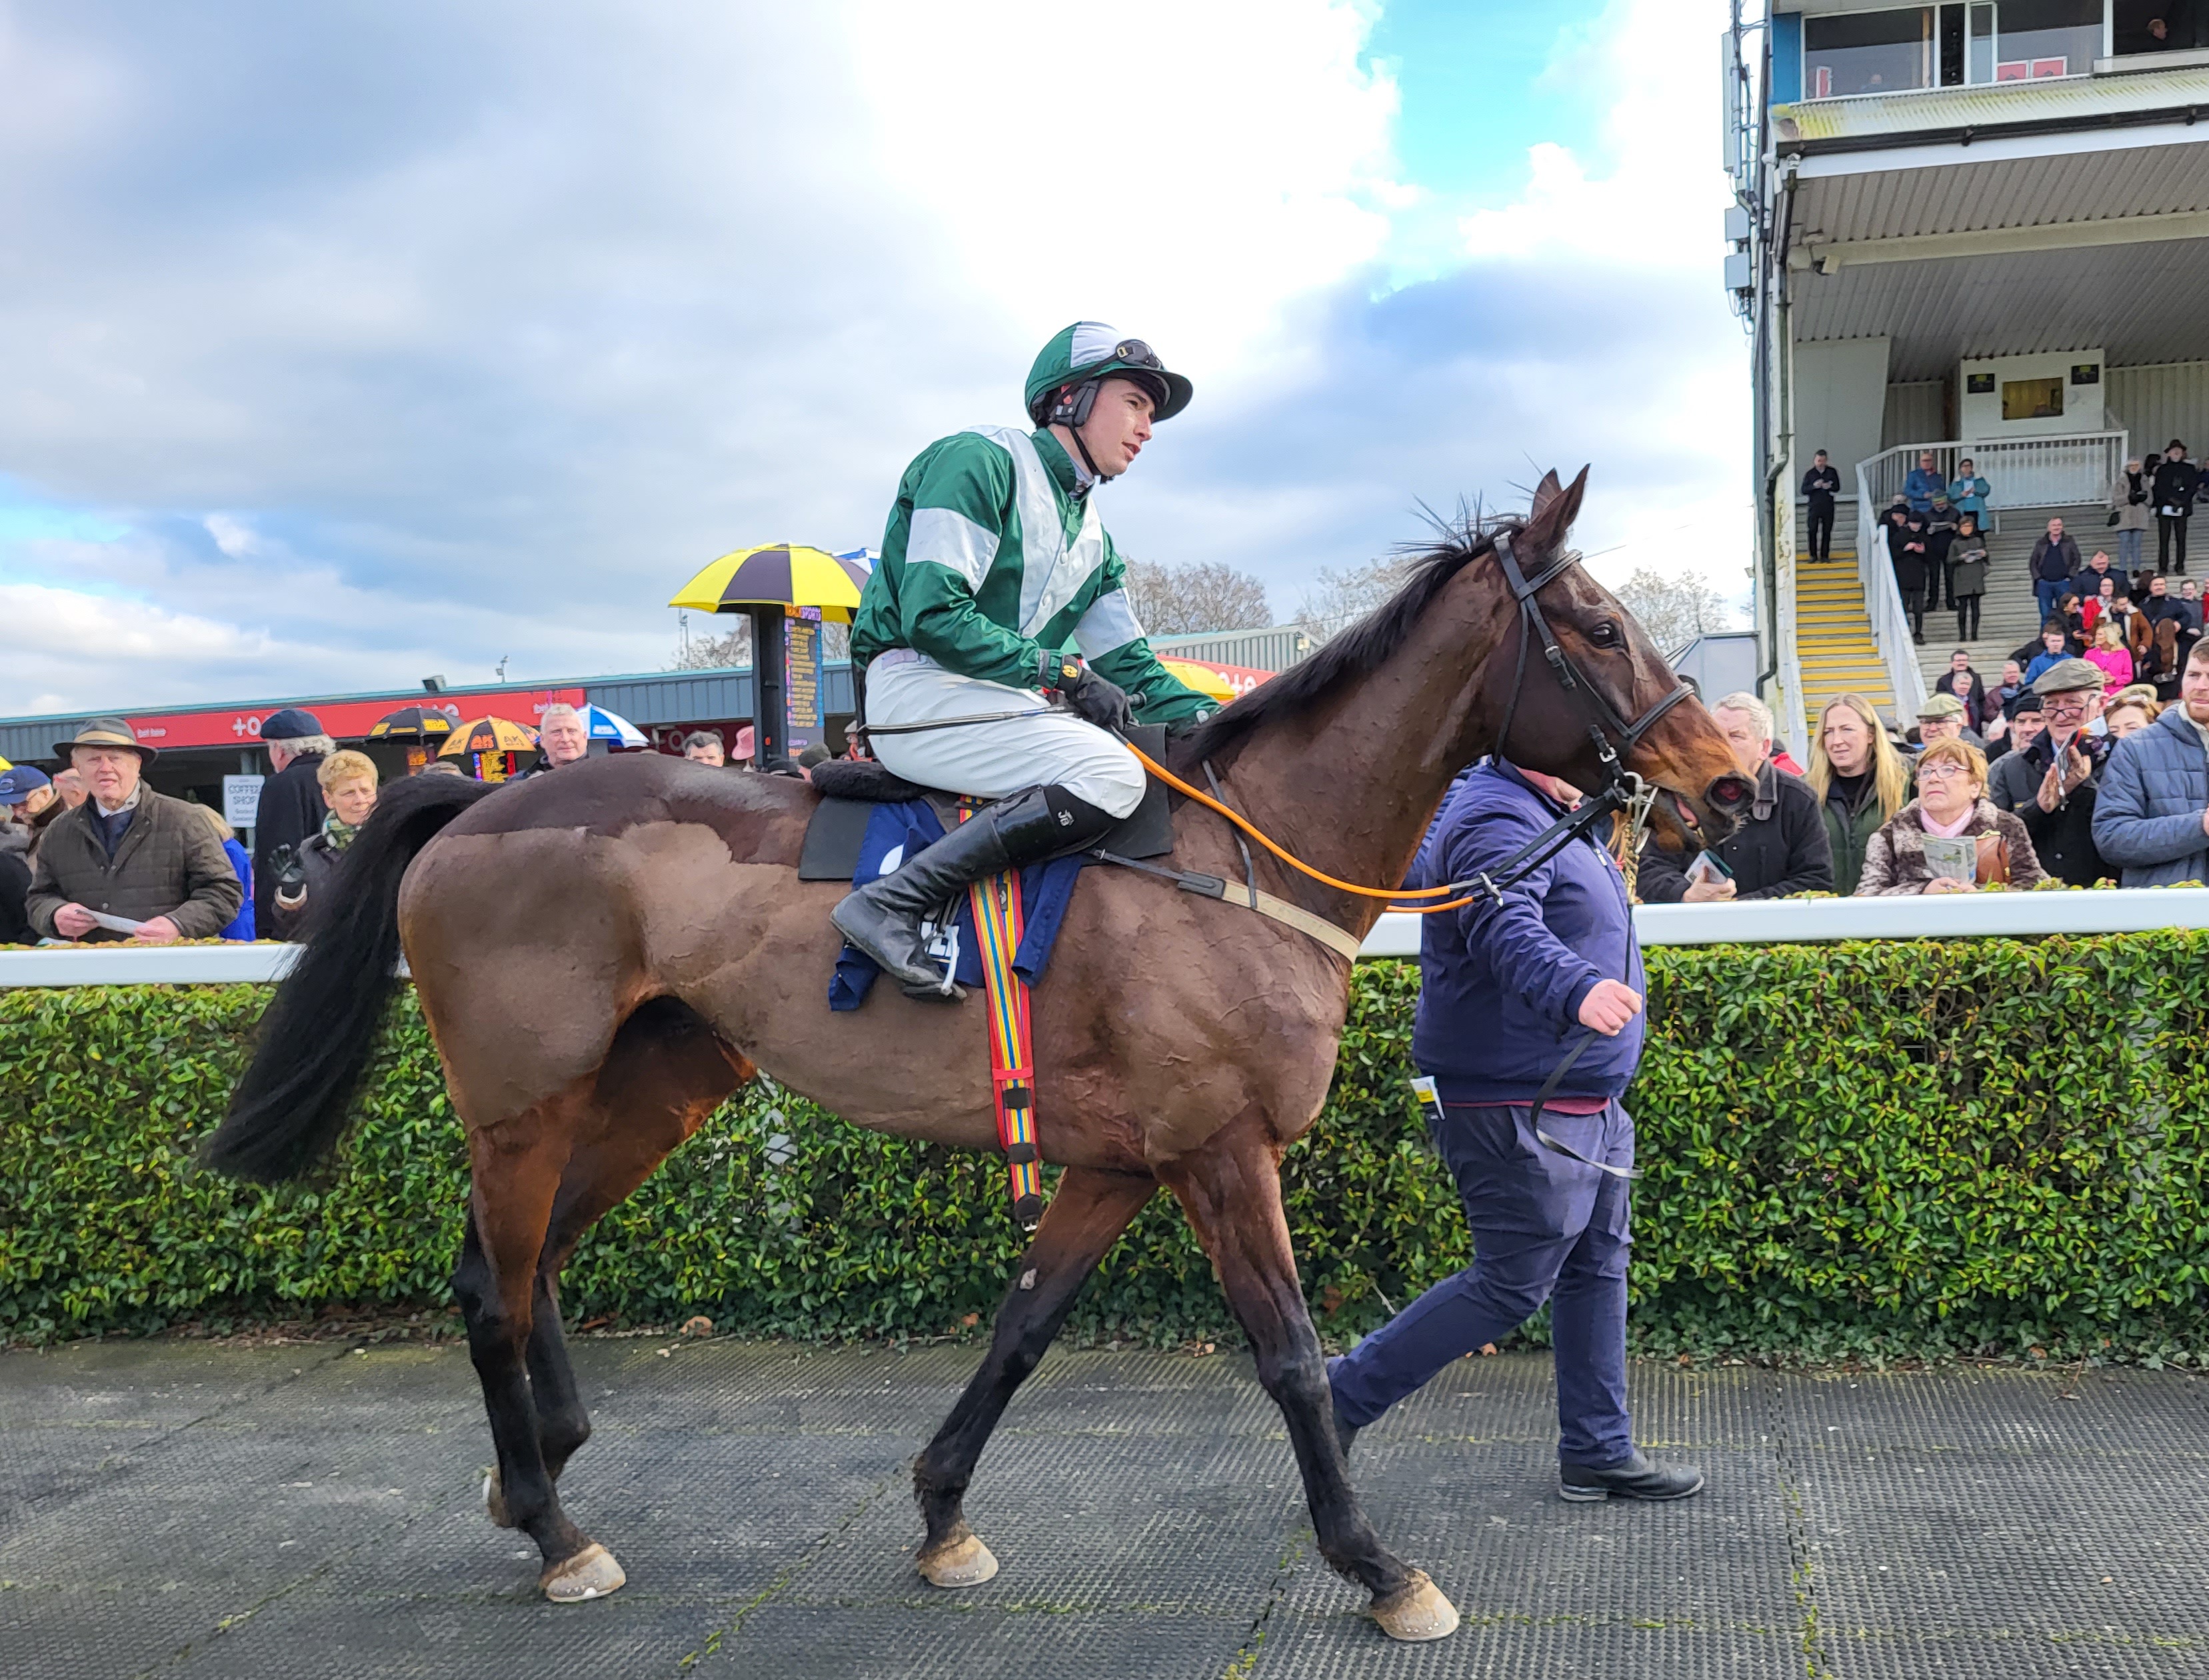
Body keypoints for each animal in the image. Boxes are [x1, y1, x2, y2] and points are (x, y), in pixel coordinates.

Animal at [211, 468, 1758, 1644]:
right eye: (1598, 626)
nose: (1730, 781)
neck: (1241, 858)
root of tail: (471, 801)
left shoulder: (1123, 1164)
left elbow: (1021, 1329)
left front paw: (943, 1514)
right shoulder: (1220, 1154)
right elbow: (1292, 1359)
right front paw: (1377, 1568)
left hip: (656, 1084)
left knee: (529, 1264)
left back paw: (536, 1468)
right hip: (522, 1100)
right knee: (490, 1281)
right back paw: (552, 1527)